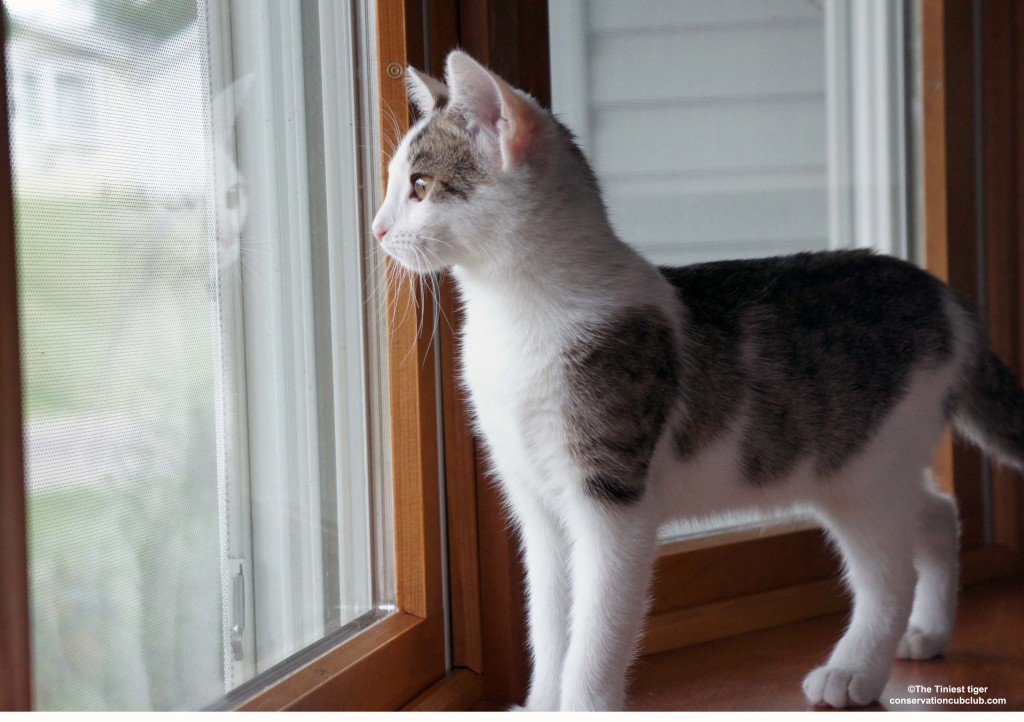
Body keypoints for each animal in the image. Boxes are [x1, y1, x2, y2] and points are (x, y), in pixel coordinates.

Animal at [372, 50, 1024, 708]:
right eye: (392, 183)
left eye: (420, 186)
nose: (376, 230)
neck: (513, 317)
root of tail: (947, 298)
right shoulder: (540, 508)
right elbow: (552, 625)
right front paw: (541, 704)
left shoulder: (612, 501)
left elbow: (596, 630)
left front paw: (582, 702)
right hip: (872, 463)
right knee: (937, 513)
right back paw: (929, 631)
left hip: (863, 472)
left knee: (890, 574)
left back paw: (855, 671)